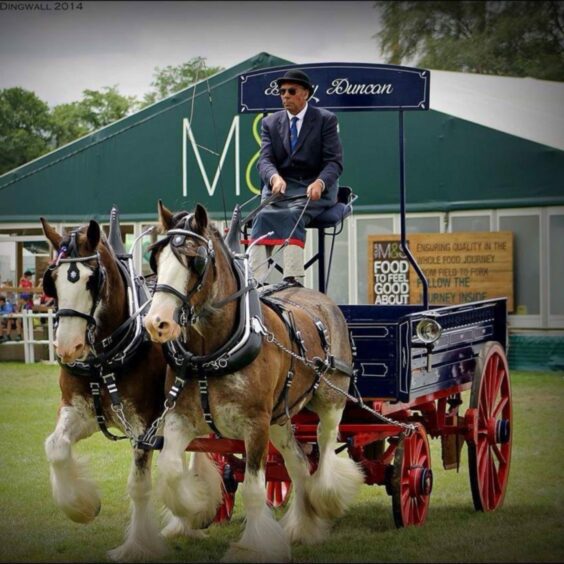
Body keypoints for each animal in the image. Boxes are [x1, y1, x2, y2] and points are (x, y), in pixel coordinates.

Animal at [40, 218, 177, 560]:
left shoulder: (146, 424)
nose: (67, 347)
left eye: (92, 280)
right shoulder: (81, 412)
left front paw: (137, 546)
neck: (104, 360)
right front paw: (82, 506)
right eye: (52, 280)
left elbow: (139, 485)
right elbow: (56, 447)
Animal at [144, 202, 362, 560]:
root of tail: (324, 300)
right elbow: (170, 470)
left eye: (195, 260)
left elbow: (254, 489)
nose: (156, 322)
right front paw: (195, 509)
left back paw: (326, 499)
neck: (212, 353)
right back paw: (303, 525)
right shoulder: (180, 419)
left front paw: (253, 547)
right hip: (281, 418)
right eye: (156, 258)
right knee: (299, 463)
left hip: (331, 399)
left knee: (325, 442)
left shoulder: (255, 425)